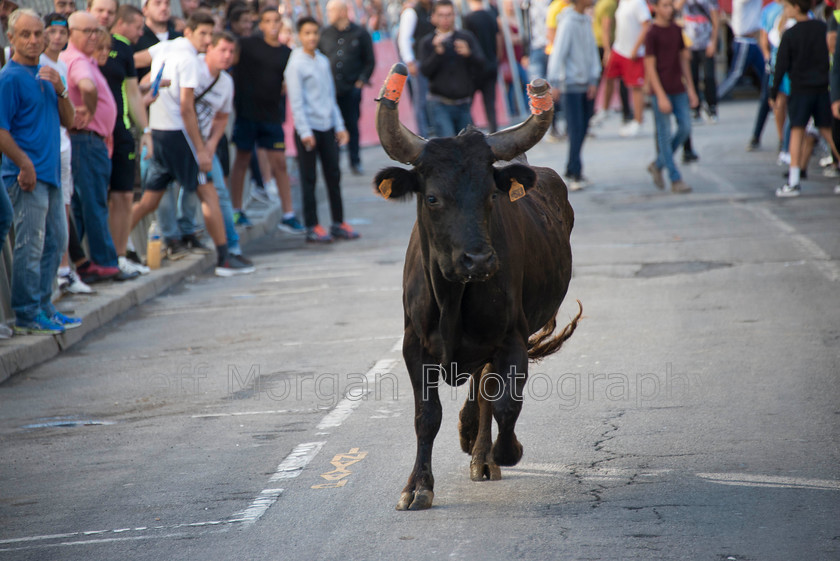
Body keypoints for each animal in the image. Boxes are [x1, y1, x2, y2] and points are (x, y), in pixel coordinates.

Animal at [376, 63, 584, 510]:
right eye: (432, 198)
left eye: (491, 194)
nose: (480, 261)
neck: (453, 297)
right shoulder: (414, 346)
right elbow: (426, 416)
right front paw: (418, 486)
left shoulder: (512, 339)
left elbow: (505, 404)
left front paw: (504, 450)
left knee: (487, 389)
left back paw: (480, 451)